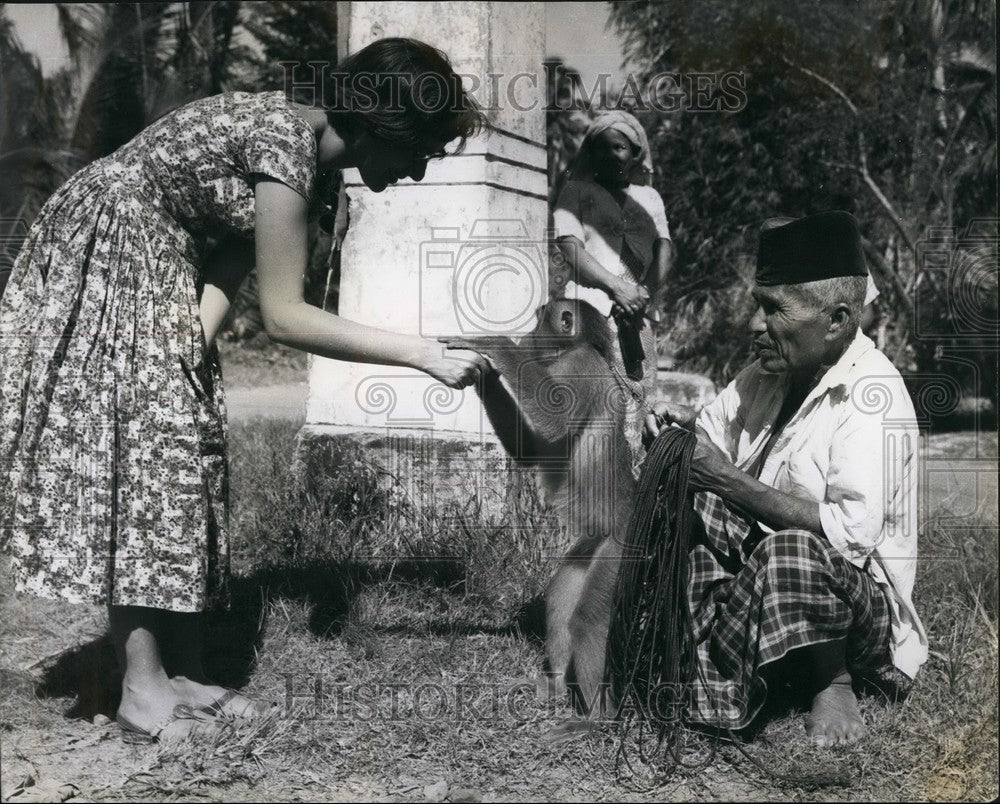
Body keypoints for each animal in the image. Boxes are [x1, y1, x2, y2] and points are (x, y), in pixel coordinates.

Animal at [444, 298, 636, 732]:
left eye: (537, 319)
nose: (527, 336)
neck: (580, 346)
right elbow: (531, 450)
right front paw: (484, 375)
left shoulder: (578, 365)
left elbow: (555, 422)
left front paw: (497, 346)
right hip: (592, 545)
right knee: (562, 592)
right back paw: (556, 687)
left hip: (621, 551)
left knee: (588, 620)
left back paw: (595, 719)